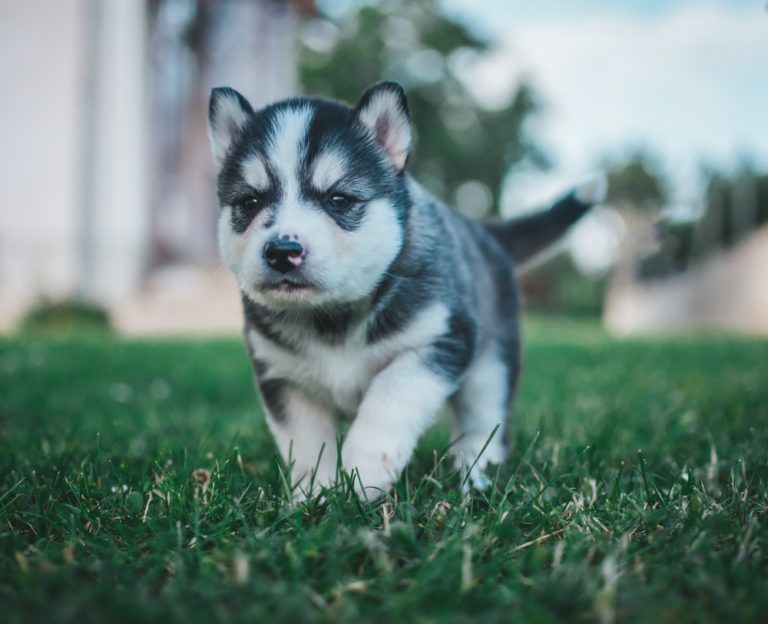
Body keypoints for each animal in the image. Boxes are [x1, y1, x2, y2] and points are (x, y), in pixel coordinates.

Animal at [206, 83, 608, 500]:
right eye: (250, 201)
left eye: (339, 199)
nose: (282, 251)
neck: (335, 316)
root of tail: (482, 231)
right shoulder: (282, 376)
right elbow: (306, 440)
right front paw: (314, 493)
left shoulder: (440, 339)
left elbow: (390, 396)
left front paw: (364, 472)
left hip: (491, 368)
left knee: (485, 425)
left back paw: (474, 474)